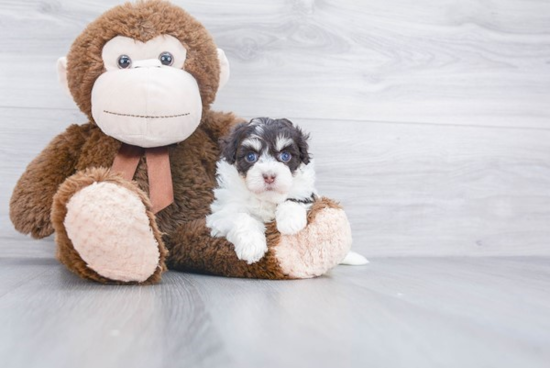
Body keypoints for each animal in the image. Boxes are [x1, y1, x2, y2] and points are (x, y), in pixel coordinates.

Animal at [207, 116, 316, 264]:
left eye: (285, 156)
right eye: (251, 157)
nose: (269, 176)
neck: (265, 196)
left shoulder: (305, 190)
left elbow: (293, 199)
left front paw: (290, 222)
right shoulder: (223, 210)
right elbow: (241, 217)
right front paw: (251, 247)